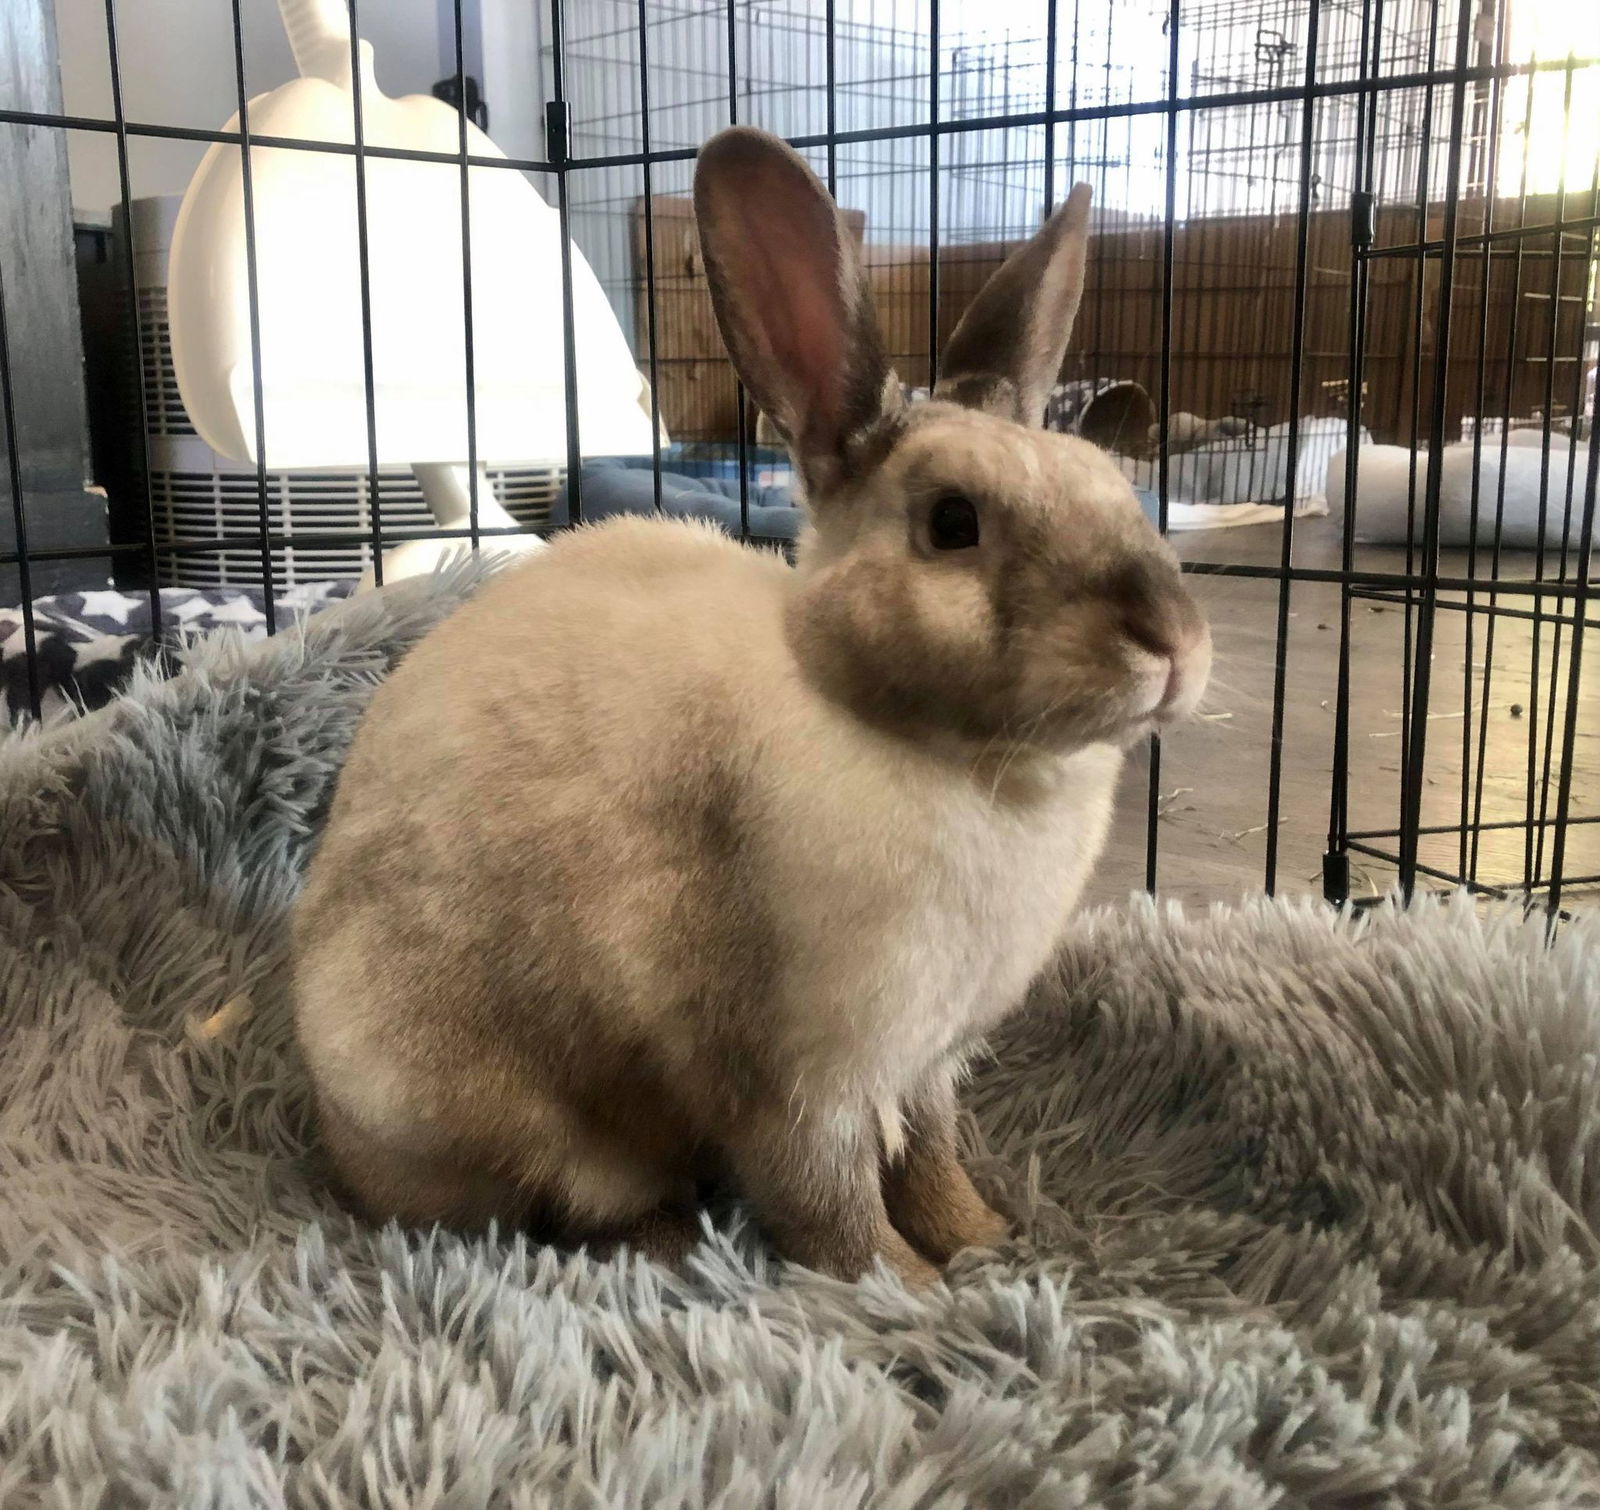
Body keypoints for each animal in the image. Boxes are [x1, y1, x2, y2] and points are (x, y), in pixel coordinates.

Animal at [291, 129, 1209, 1286]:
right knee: (578, 1198)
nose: (1173, 642)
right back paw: (671, 1247)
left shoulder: (928, 1065)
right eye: (953, 523)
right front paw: (912, 1291)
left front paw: (989, 1245)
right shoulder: (799, 1074)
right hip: (500, 1106)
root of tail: (329, 1123)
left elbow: (932, 1161)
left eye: (1113, 484)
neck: (950, 757)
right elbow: (830, 1204)